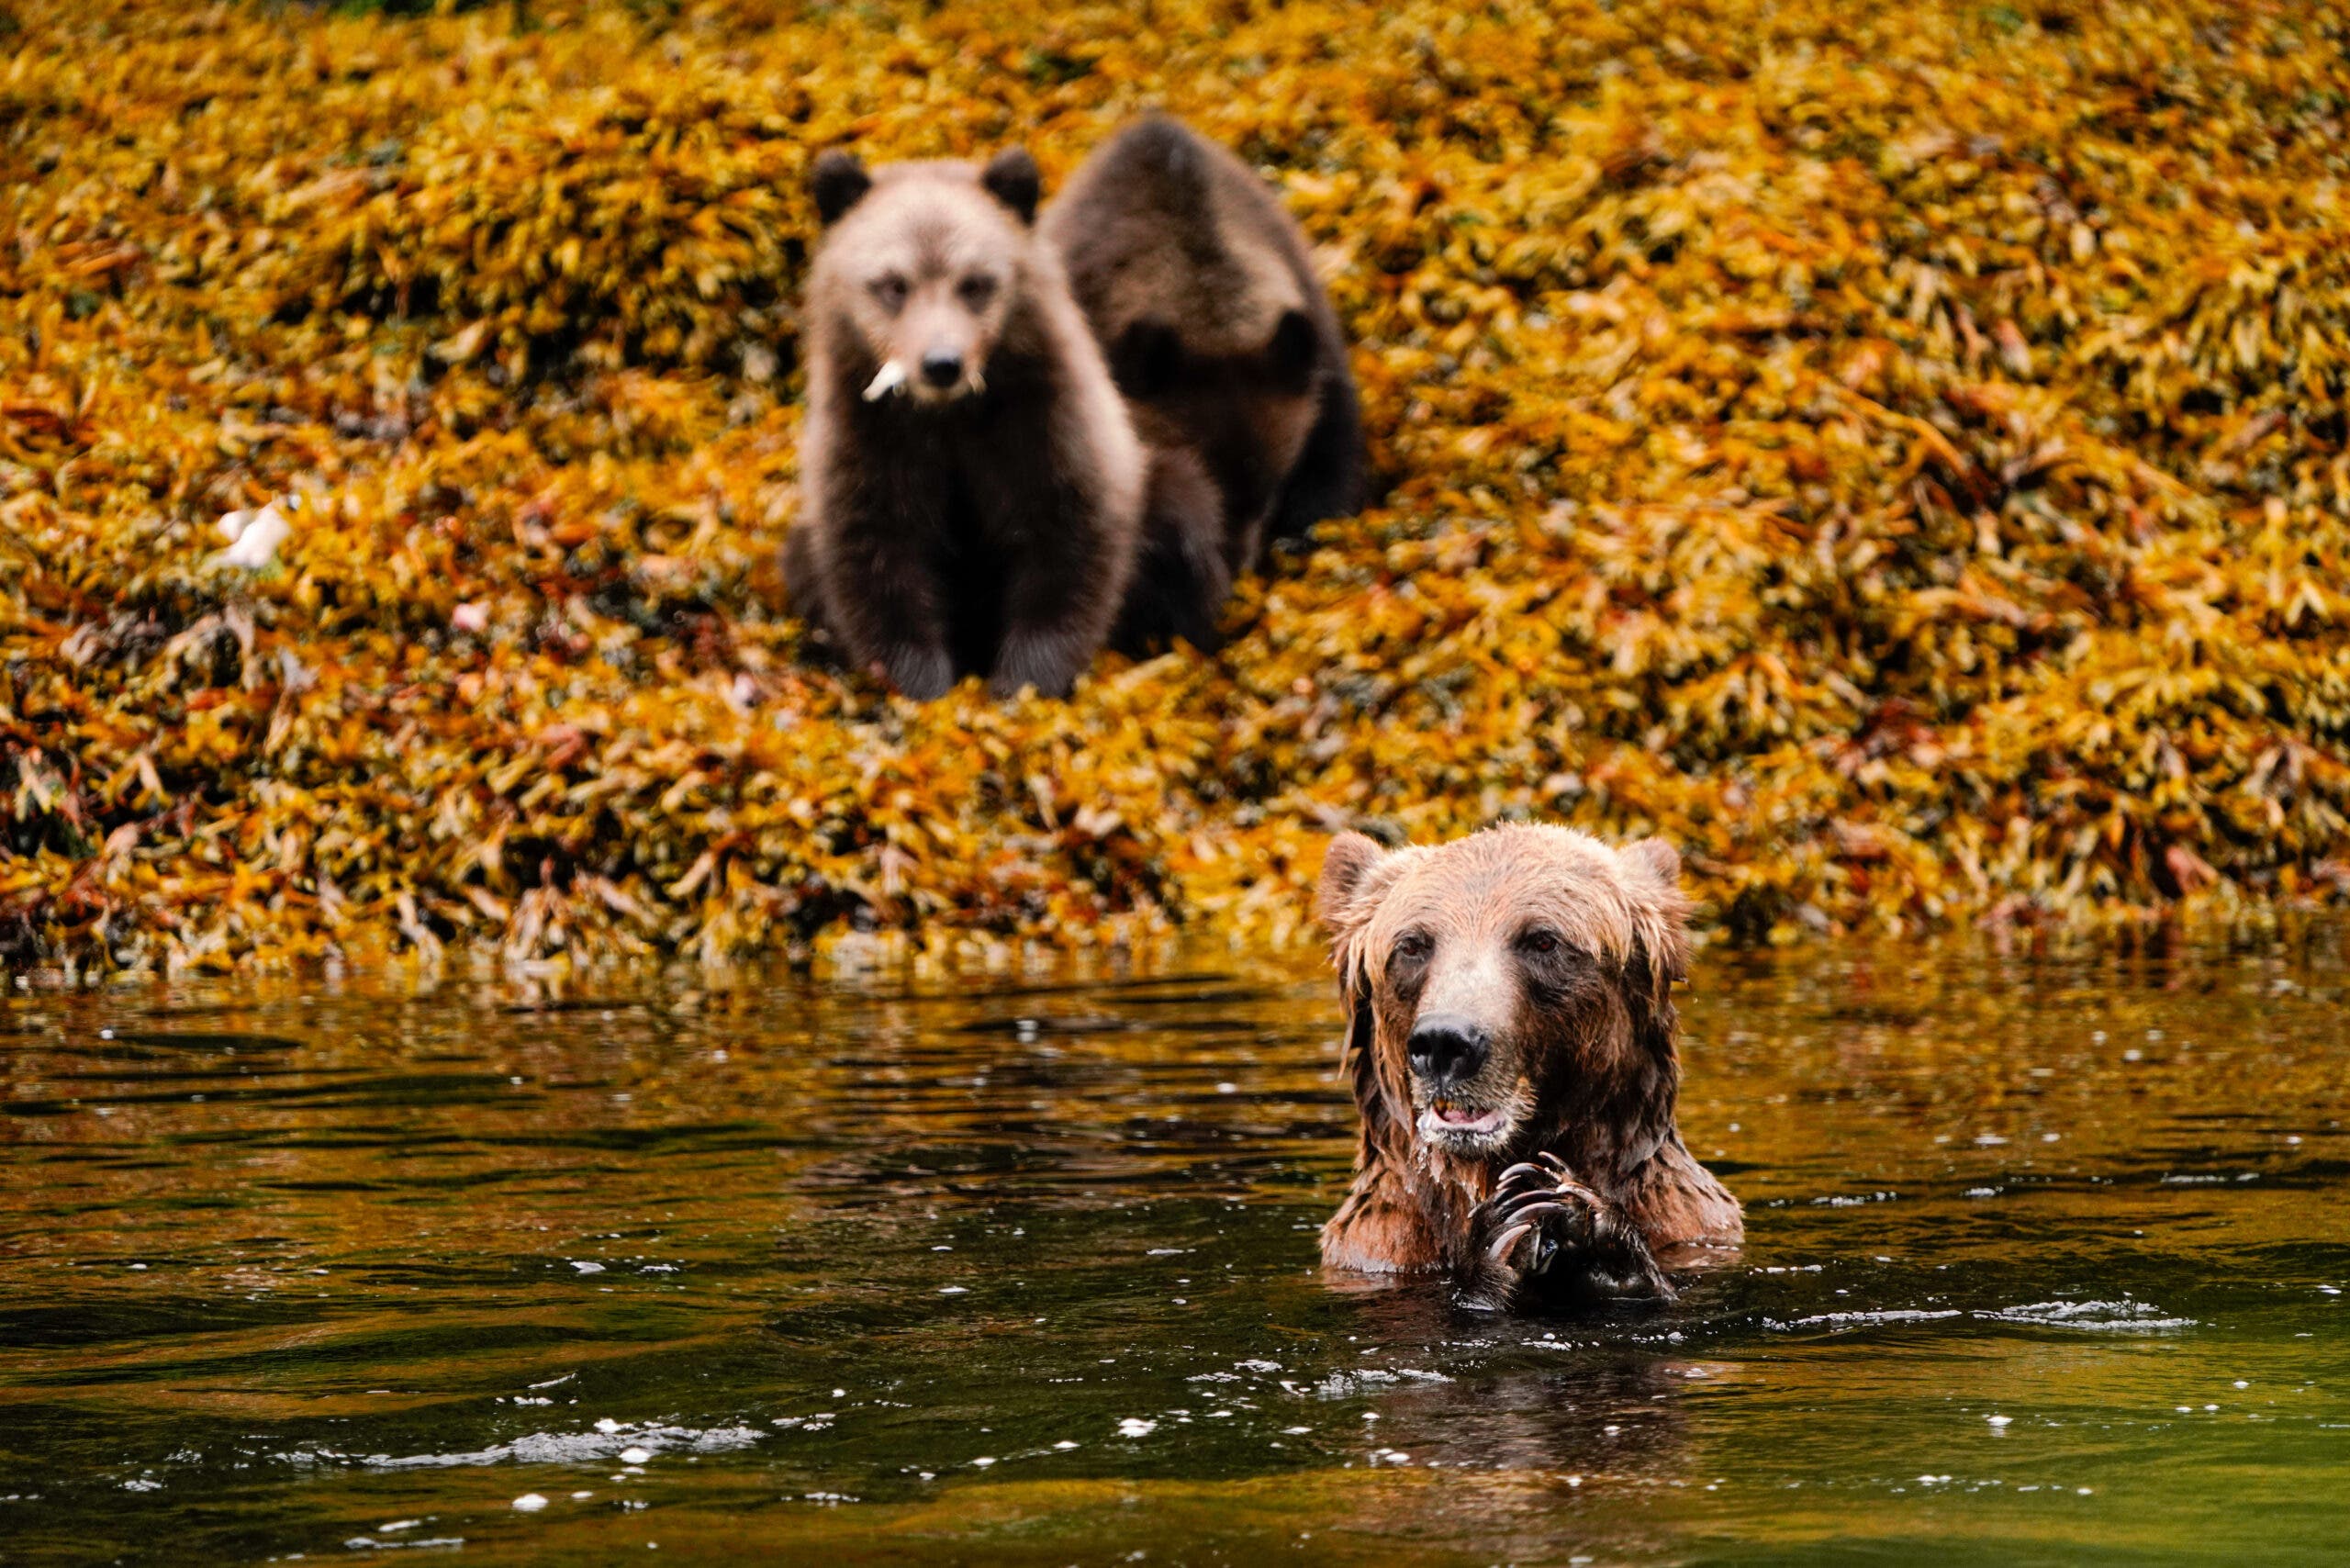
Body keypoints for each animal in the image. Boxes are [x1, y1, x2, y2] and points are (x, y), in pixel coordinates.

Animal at [783, 146, 1228, 700]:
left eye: (975, 282)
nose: (942, 363)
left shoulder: (1046, 427)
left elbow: (1068, 547)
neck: (949, 416)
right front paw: (919, 682)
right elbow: (877, 557)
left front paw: (1025, 679)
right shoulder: (870, 439)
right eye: (892, 284)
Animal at [1313, 824, 1742, 1312]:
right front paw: (1502, 1230)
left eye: (1543, 939)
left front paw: (1592, 1227)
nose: (1444, 1042)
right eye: (1412, 944)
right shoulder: (1381, 1250)